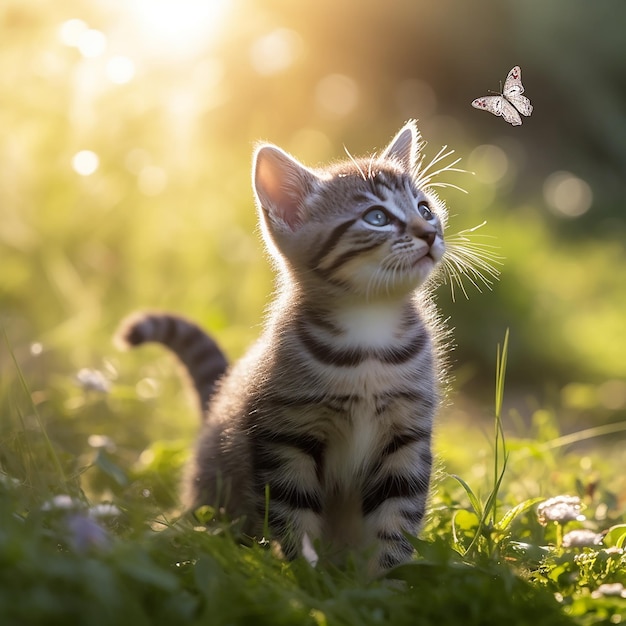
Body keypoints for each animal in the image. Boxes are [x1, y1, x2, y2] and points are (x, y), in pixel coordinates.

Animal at [117, 120, 448, 572]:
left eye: (425, 208)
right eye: (377, 217)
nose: (430, 233)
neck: (369, 336)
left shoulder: (407, 436)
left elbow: (396, 521)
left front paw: (384, 582)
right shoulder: (285, 437)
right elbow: (294, 515)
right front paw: (306, 576)